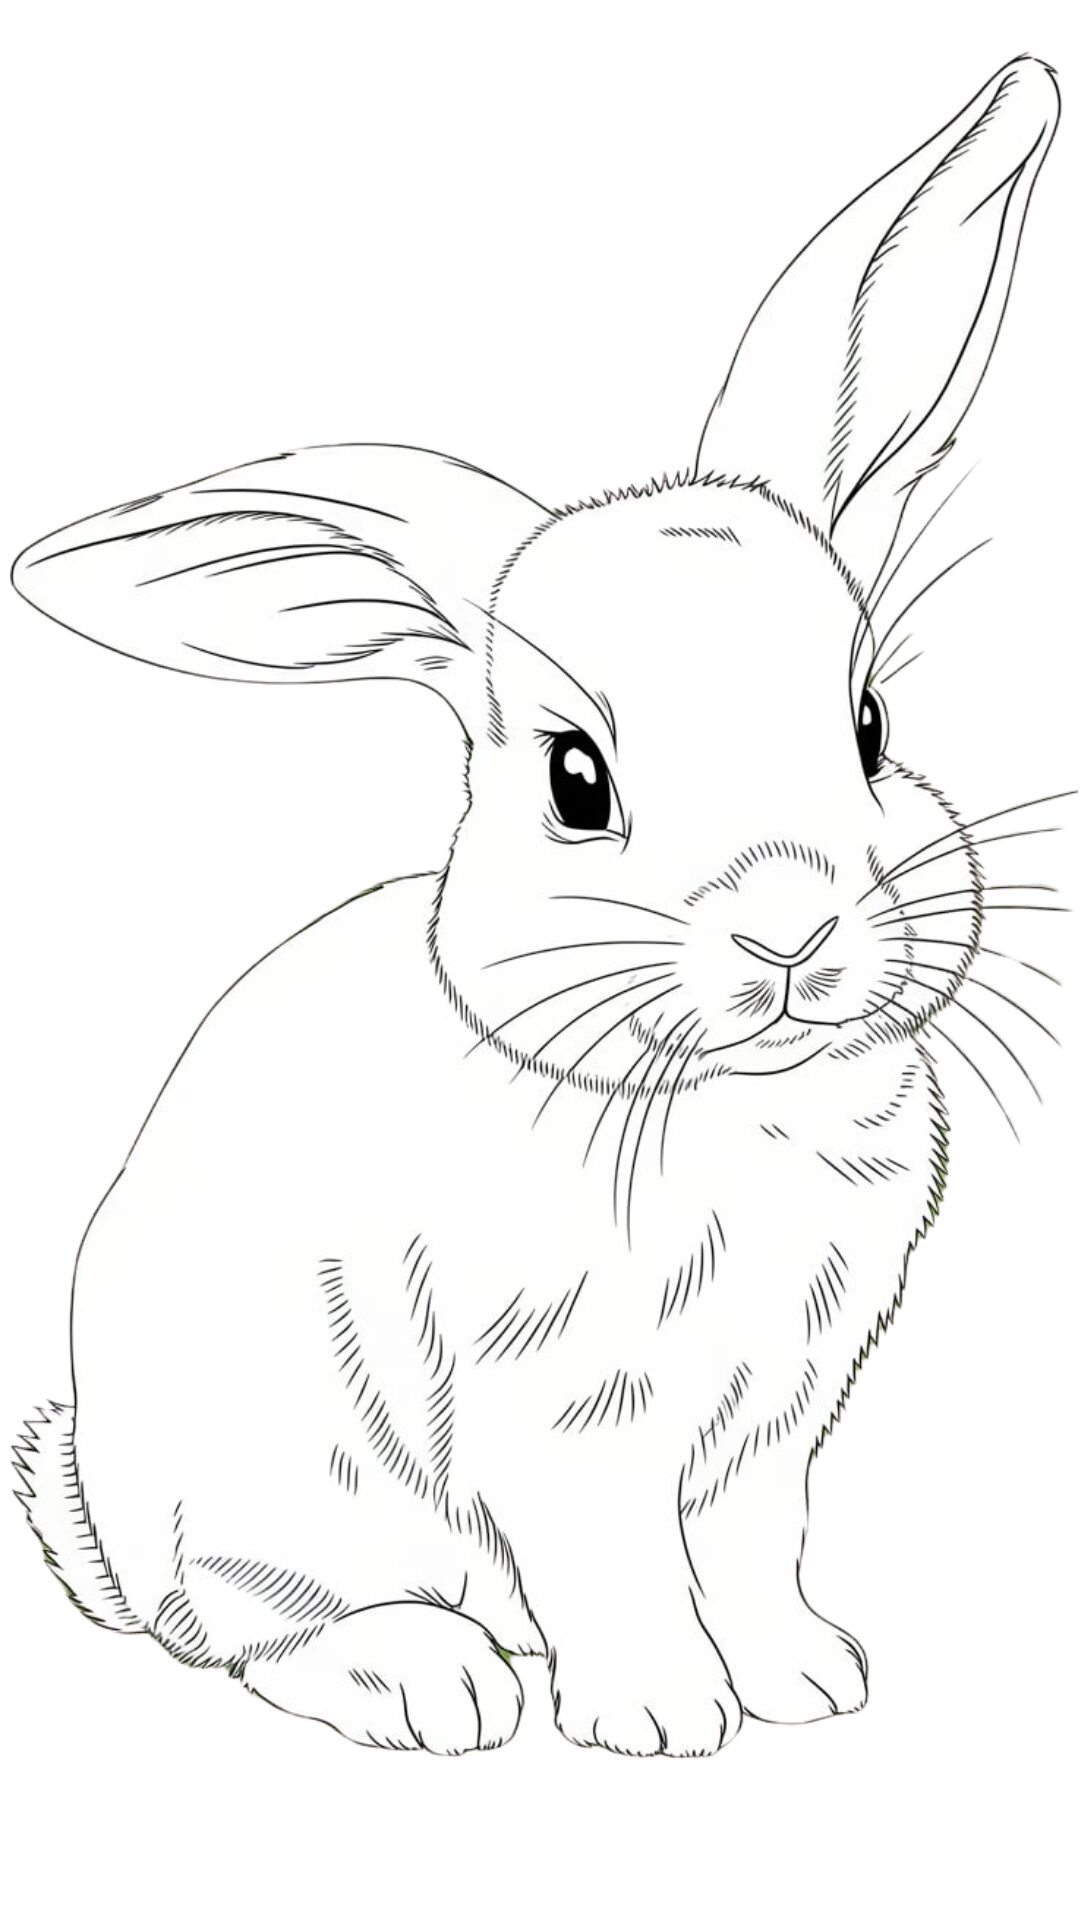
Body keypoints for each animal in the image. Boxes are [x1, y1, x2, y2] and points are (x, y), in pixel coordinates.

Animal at [11, 56, 1060, 1757]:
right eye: (577, 780)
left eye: (869, 724)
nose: (792, 930)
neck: (738, 1110)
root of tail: (100, 1514)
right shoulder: (565, 1418)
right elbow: (616, 1567)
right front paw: (662, 1718)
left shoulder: (779, 1419)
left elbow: (752, 1552)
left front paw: (802, 1682)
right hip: (271, 1493)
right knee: (248, 1633)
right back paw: (432, 1681)